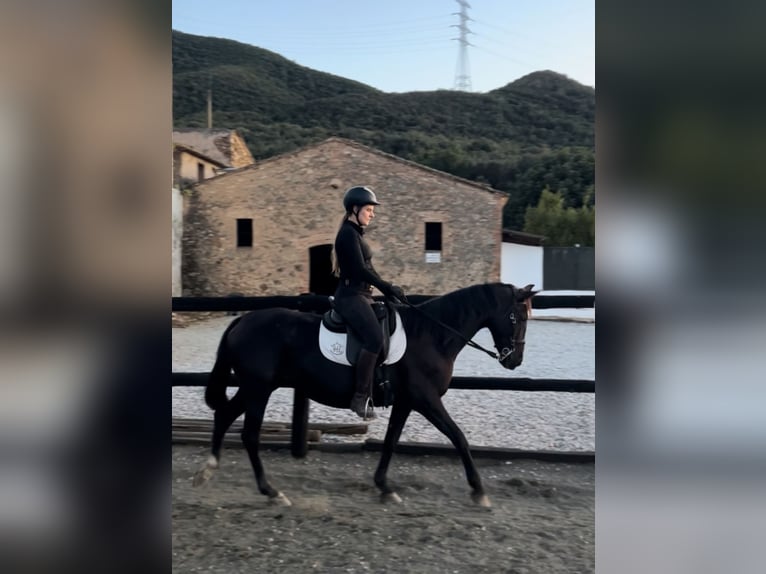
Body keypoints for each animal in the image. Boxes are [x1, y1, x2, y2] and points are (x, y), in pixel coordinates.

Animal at [193, 282, 536, 507]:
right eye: (517, 318)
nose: (514, 360)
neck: (432, 334)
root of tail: (242, 319)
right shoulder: (426, 400)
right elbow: (458, 437)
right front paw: (479, 491)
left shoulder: (406, 402)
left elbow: (390, 441)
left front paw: (385, 487)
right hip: (258, 389)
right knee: (249, 434)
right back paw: (271, 491)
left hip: (254, 388)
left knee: (224, 415)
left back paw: (208, 471)